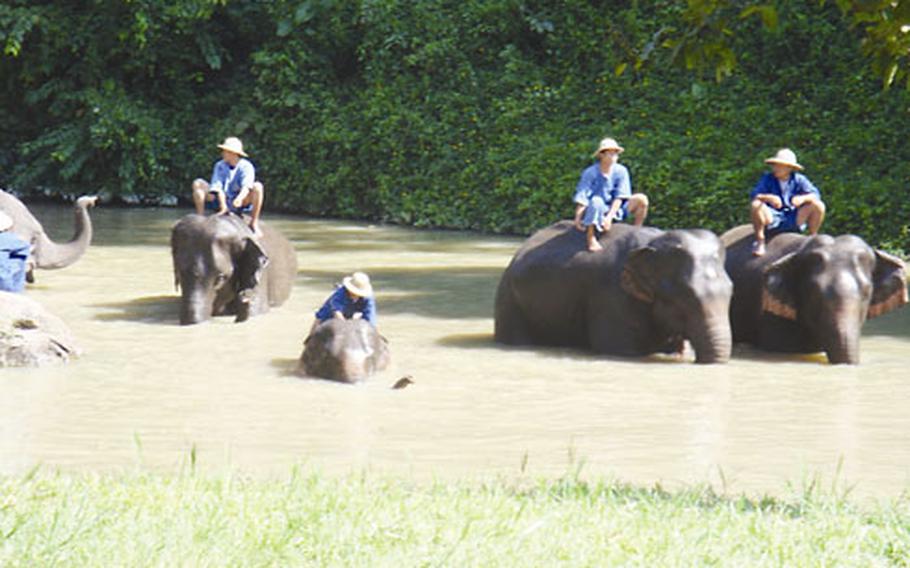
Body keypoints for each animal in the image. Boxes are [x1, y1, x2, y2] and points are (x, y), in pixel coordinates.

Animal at [496, 222, 736, 364]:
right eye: (685, 296)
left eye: (731, 291)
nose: (696, 361)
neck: (652, 245)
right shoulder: (611, 298)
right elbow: (621, 349)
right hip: (510, 304)